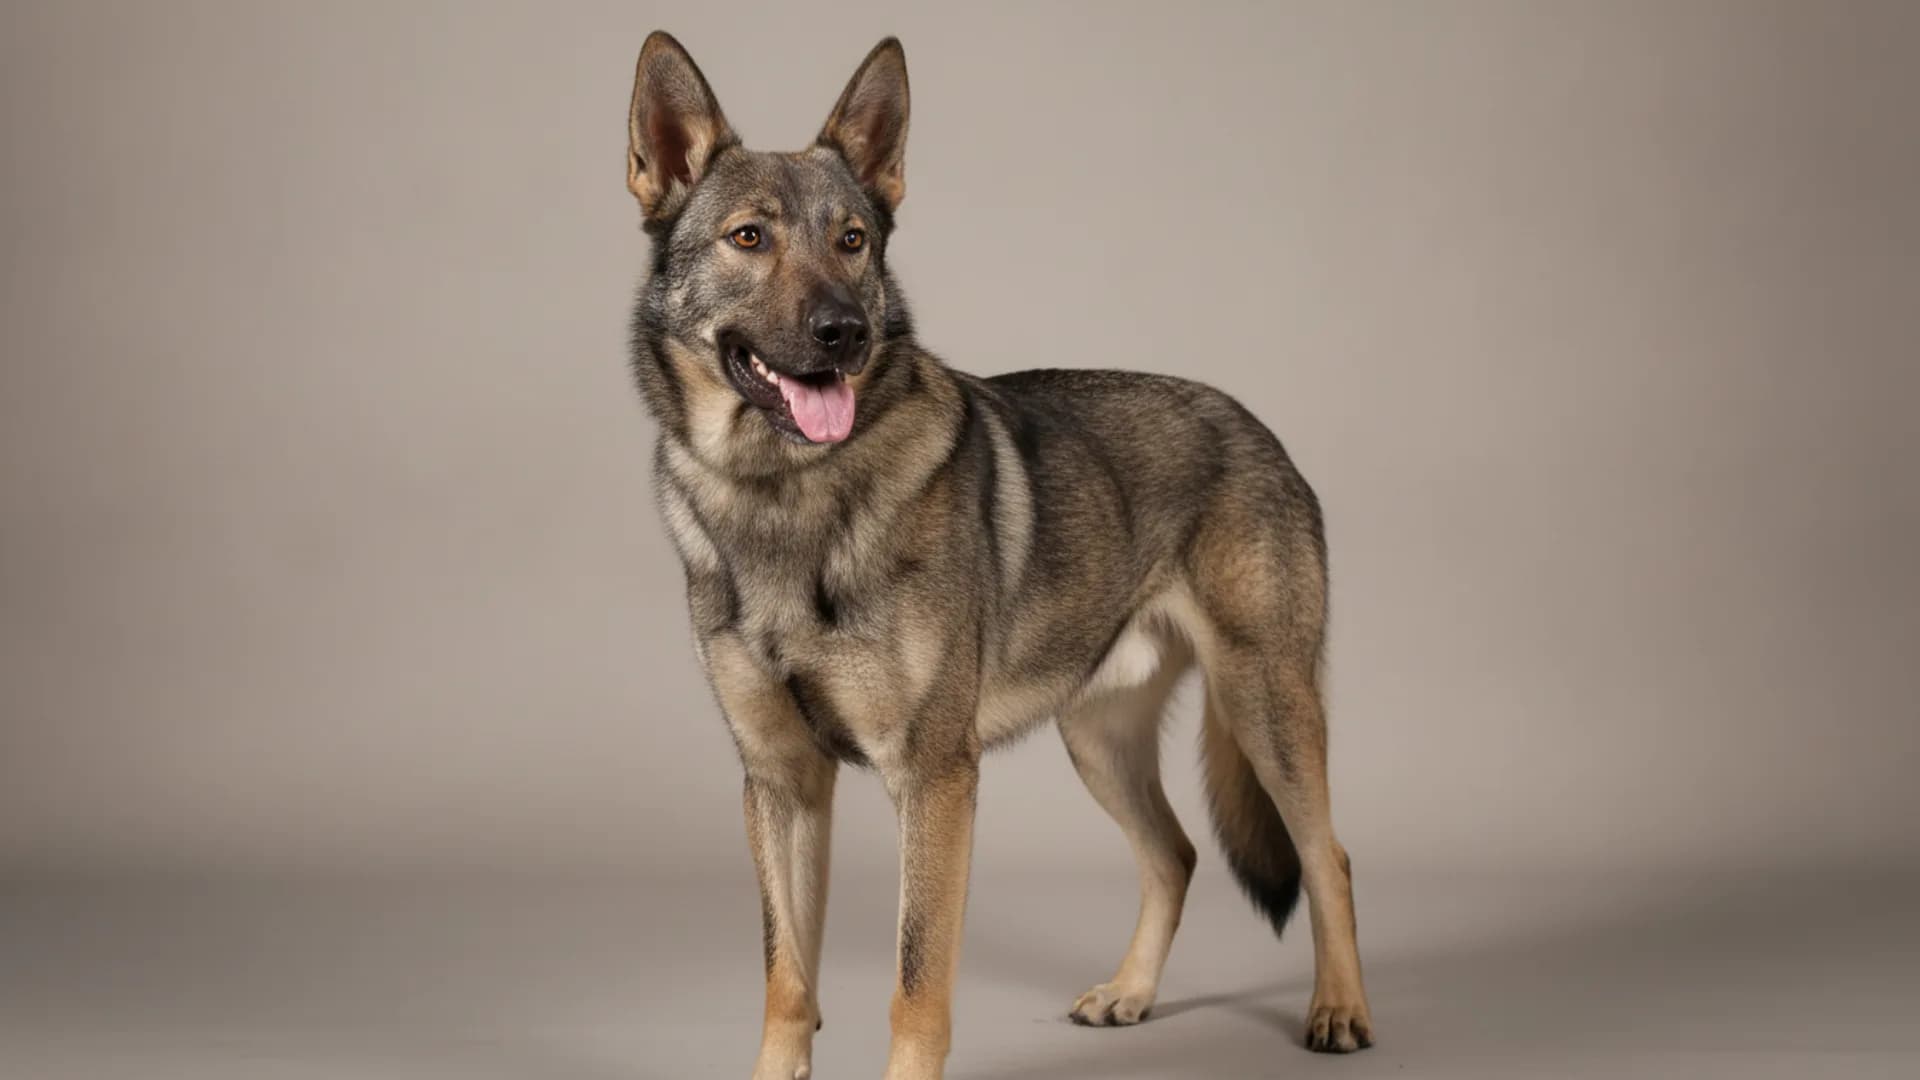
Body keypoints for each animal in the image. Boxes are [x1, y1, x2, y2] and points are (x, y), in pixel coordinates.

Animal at [623, 31, 1375, 1079]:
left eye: (852, 242)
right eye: (749, 239)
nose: (844, 333)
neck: (783, 495)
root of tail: (1253, 423)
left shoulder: (934, 780)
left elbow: (915, 986)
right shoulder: (781, 784)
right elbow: (788, 982)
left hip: (1268, 709)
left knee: (1325, 856)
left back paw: (1339, 1008)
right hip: (1097, 738)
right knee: (1175, 855)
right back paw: (1132, 993)